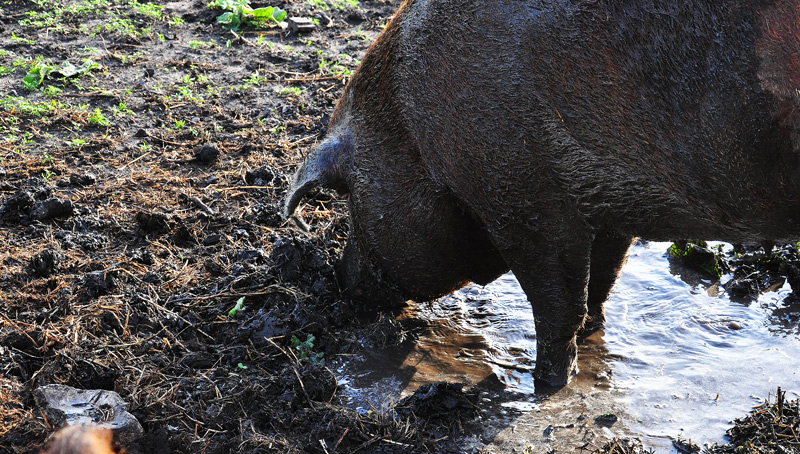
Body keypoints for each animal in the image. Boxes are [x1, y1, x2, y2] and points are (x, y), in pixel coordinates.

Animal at [284, 0, 800, 387]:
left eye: (351, 197)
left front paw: (547, 384)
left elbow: (559, 304)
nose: (339, 277)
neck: (417, 135)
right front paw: (592, 341)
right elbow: (600, 285)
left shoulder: (525, 198)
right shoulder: (610, 209)